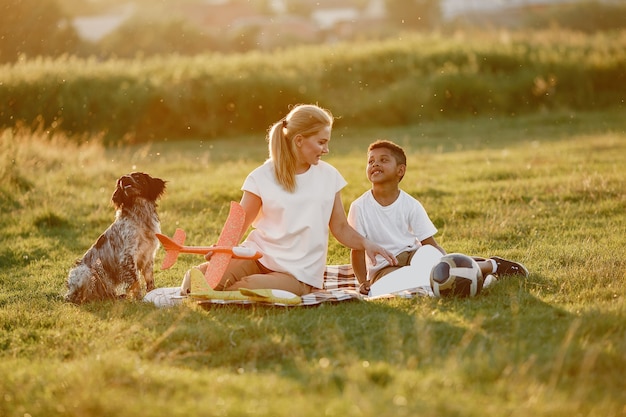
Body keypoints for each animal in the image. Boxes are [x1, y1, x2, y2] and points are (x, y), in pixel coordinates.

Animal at [65, 171, 166, 304]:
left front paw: (151, 295)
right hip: (84, 272)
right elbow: (136, 282)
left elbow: (150, 281)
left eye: (137, 176)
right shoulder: (127, 257)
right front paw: (139, 300)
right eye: (120, 182)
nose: (124, 178)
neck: (140, 217)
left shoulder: (148, 256)